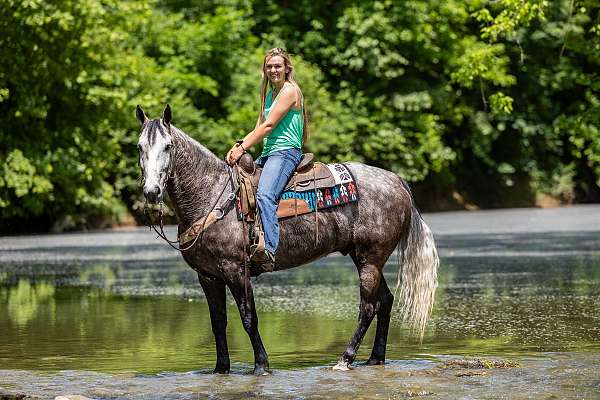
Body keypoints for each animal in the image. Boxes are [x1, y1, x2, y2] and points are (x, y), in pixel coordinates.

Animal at [135, 104, 436, 376]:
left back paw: (345, 359)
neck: (211, 195)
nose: (151, 192)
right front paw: (221, 369)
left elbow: (248, 318)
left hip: (370, 260)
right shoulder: (207, 276)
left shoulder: (236, 270)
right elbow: (218, 322)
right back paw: (375, 359)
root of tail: (397, 180)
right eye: (140, 147)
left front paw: (261, 365)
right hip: (365, 257)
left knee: (368, 306)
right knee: (385, 301)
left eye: (168, 146)